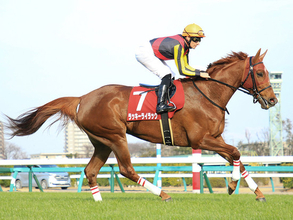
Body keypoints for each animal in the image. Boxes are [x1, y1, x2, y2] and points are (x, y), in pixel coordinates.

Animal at [6, 49, 276, 202]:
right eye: (260, 73)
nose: (273, 100)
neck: (208, 93)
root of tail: (83, 98)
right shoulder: (200, 140)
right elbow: (236, 153)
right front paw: (233, 185)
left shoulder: (215, 139)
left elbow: (236, 157)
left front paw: (256, 192)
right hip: (116, 136)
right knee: (126, 169)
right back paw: (163, 194)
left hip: (101, 142)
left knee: (91, 171)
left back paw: (99, 202)